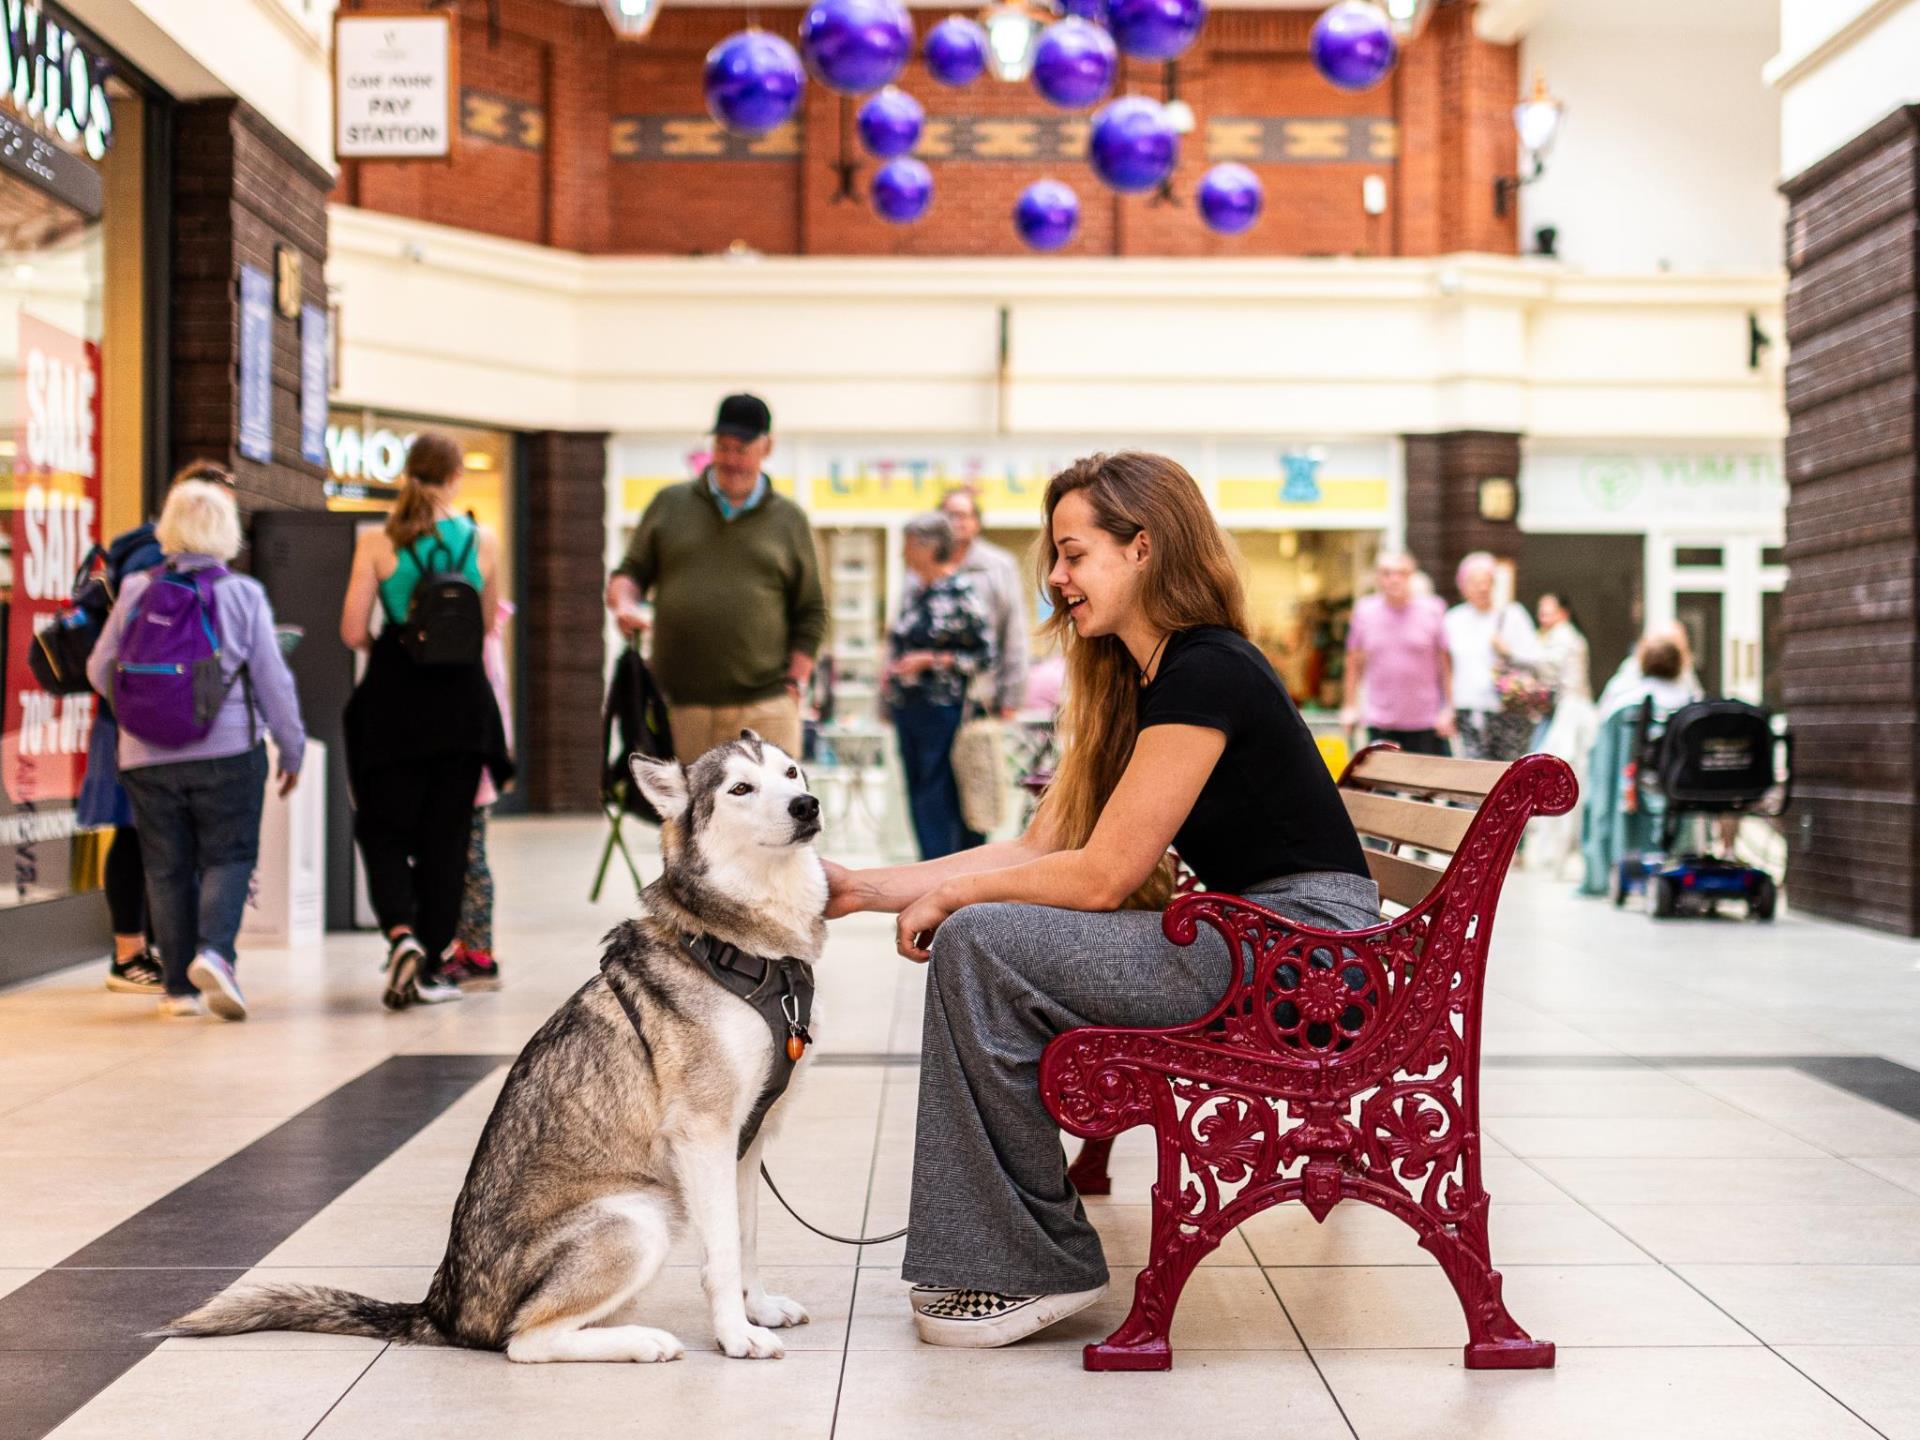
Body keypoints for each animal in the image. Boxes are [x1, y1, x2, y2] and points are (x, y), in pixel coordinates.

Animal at [165, 733, 825, 1367]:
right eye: (740, 788)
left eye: (791, 772)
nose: (807, 805)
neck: (745, 951)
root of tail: (442, 1310)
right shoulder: (705, 1134)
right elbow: (723, 1254)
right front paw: (735, 1336)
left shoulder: (746, 1141)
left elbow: (746, 1239)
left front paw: (757, 1311)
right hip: (638, 1218)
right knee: (526, 1340)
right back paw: (642, 1342)